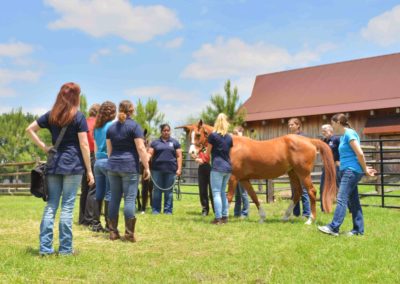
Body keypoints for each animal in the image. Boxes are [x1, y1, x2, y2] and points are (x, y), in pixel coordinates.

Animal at [180, 120, 336, 224]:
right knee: (297, 193)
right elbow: (254, 197)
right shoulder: (243, 179)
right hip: (292, 173)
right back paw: (285, 216)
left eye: (198, 134)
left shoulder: (233, 178)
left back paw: (310, 220)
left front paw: (224, 218)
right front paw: (262, 217)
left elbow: (228, 197)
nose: (192, 153)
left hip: (303, 173)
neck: (231, 145)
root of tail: (310, 141)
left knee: (311, 192)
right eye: (190, 135)